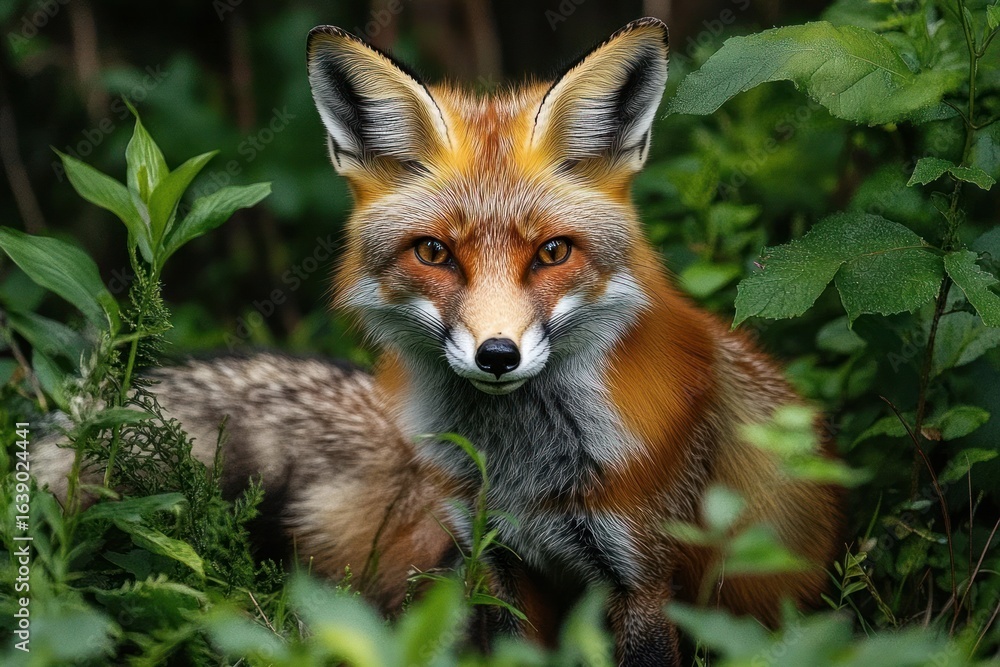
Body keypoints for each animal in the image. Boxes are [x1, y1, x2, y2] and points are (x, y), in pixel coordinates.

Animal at [32, 17, 843, 666]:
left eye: (553, 253)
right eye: (434, 253)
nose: (497, 355)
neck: (526, 476)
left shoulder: (644, 579)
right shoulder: (500, 565)